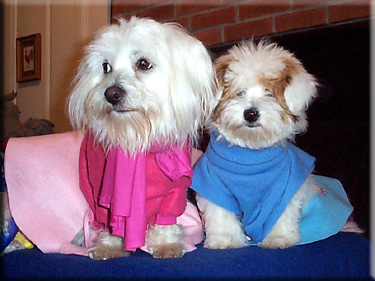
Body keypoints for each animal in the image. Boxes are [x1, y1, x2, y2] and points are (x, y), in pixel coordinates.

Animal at [67, 17, 217, 258]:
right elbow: (110, 221)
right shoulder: (104, 195)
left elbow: (166, 221)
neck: (137, 136)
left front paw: (167, 244)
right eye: (105, 67)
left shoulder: (174, 191)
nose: (111, 94)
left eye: (143, 63)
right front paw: (109, 246)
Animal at [192, 40, 322, 248]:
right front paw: (225, 239)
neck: (250, 154)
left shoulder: (283, 187)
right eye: (239, 92)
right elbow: (221, 215)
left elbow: (280, 214)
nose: (251, 113)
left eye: (270, 93)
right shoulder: (214, 184)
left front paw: (279, 238)